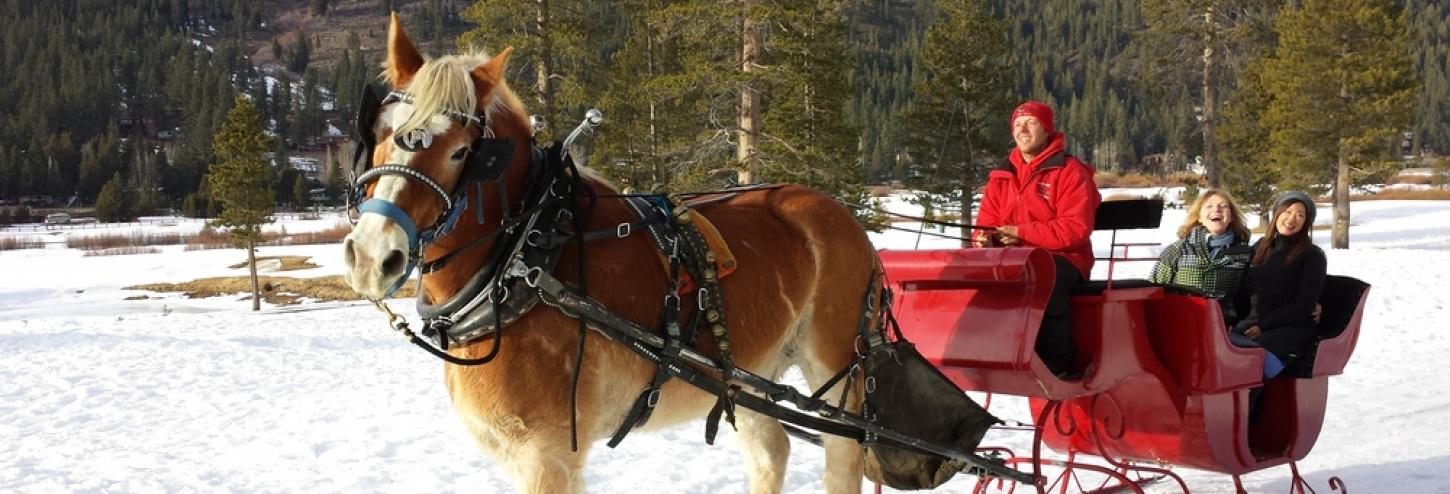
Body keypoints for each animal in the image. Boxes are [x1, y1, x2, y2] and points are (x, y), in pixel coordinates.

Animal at [345, 13, 875, 489]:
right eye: (380, 133)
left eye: (460, 152)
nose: (372, 257)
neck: (527, 260)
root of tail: (843, 215)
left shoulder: (549, 454)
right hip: (745, 378)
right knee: (770, 450)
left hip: (835, 364)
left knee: (843, 455)